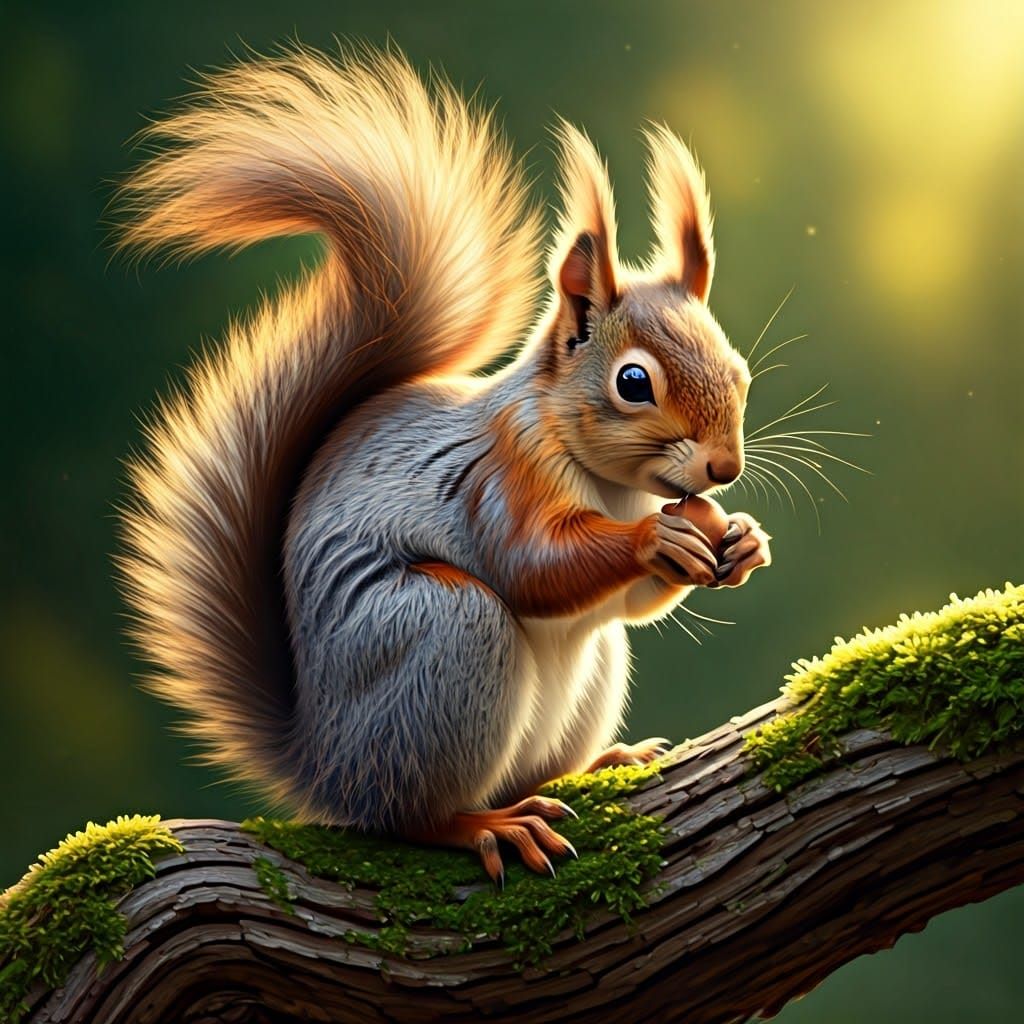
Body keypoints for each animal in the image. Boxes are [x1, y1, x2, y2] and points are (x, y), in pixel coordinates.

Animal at [116, 45, 771, 882]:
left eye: (739, 371)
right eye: (633, 383)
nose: (724, 469)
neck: (613, 486)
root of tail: (322, 766)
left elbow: (630, 605)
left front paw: (743, 540)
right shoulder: (501, 476)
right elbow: (531, 565)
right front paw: (656, 539)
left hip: (582, 671)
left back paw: (600, 763)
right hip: (444, 637)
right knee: (409, 813)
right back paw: (486, 825)